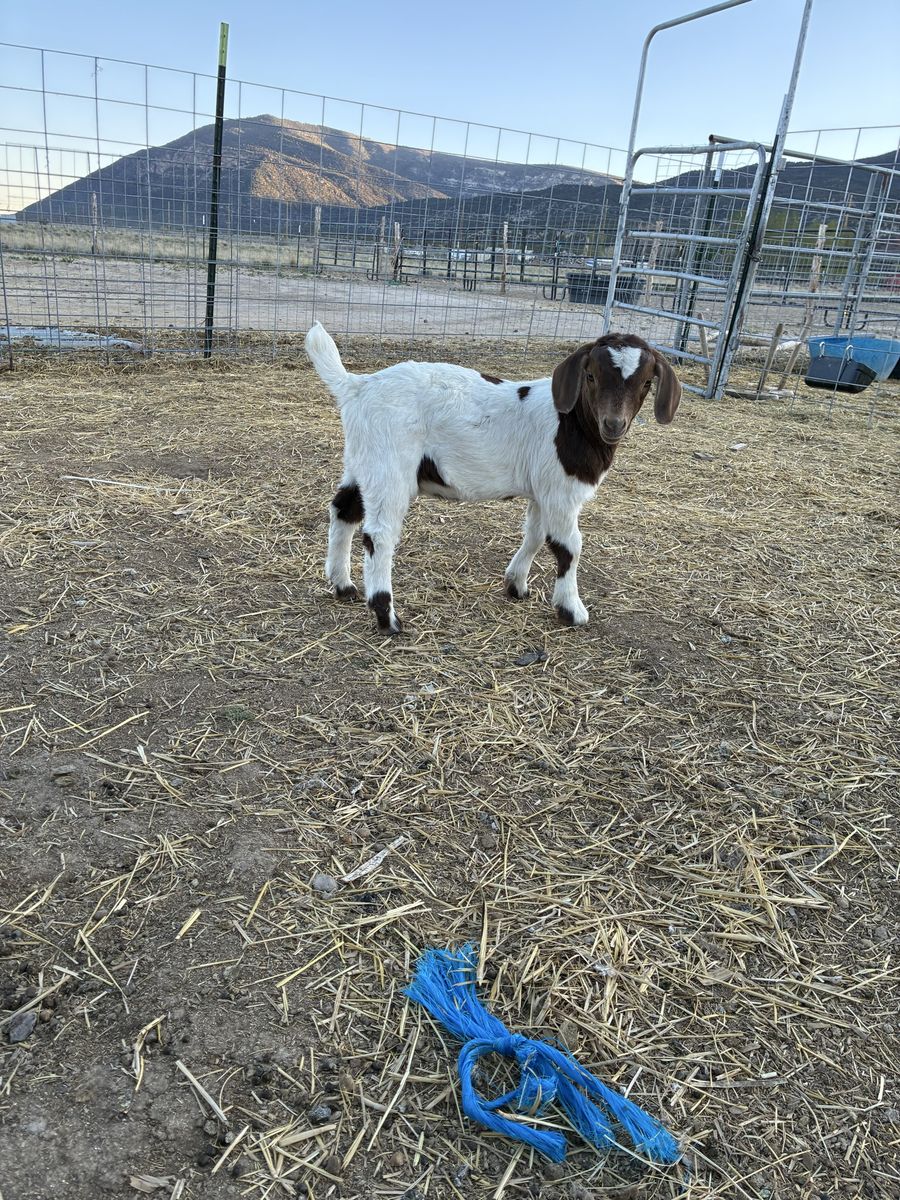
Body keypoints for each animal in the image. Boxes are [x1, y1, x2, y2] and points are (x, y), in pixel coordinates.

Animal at [304, 323, 681, 634]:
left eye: (647, 382)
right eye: (590, 376)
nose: (613, 424)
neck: (571, 423)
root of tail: (357, 386)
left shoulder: (542, 490)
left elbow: (535, 535)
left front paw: (516, 585)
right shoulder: (561, 491)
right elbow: (568, 547)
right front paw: (571, 610)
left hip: (362, 461)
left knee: (343, 510)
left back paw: (343, 586)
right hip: (389, 467)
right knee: (379, 536)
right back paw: (387, 617)